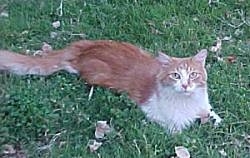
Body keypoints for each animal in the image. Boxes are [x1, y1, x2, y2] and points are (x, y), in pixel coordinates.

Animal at [0, 39, 223, 132]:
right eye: (176, 76)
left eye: (193, 75)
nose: (185, 85)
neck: (187, 102)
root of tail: (82, 47)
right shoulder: (155, 114)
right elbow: (176, 131)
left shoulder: (205, 106)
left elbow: (213, 115)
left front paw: (216, 121)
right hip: (94, 74)